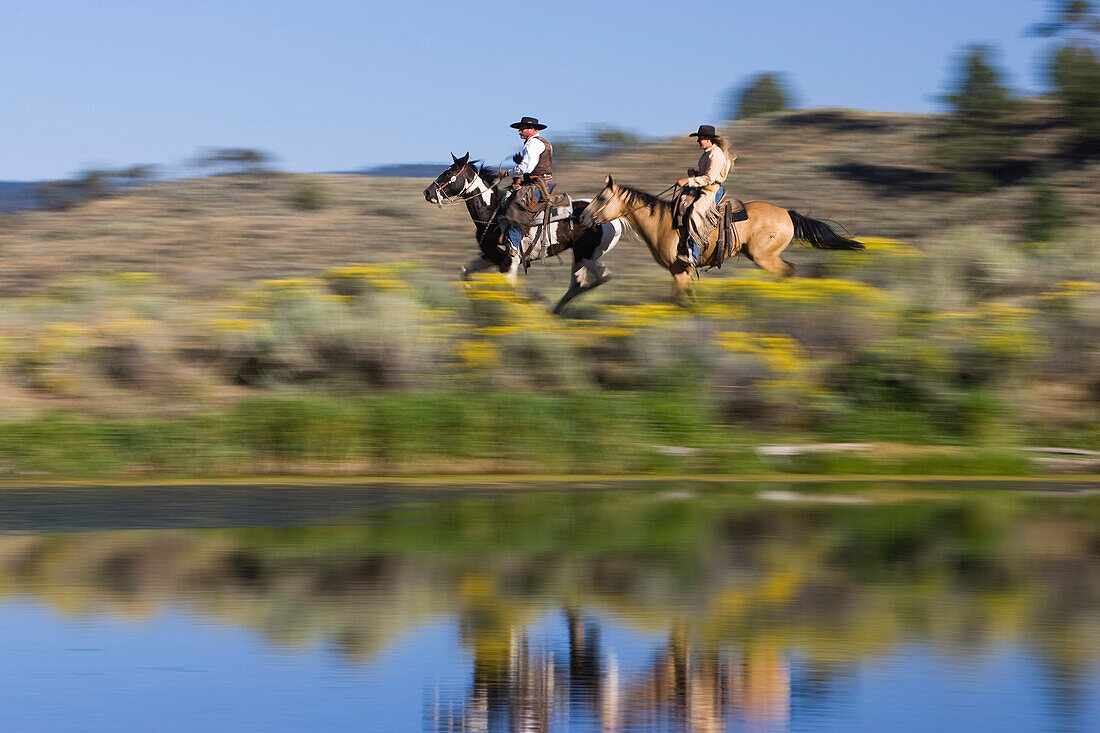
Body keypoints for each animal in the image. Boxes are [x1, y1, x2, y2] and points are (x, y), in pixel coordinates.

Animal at [424, 152, 624, 312]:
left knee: (598, 278)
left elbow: (509, 290)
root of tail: (610, 216)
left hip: (586, 254)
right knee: (578, 284)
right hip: (580, 256)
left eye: (449, 173)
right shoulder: (490, 256)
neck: (493, 214)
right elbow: (465, 272)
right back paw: (554, 311)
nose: (428, 192)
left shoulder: (510, 261)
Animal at [580, 176, 862, 299]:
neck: (661, 223)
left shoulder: (680, 269)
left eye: (602, 198)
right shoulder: (680, 272)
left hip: (764, 257)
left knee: (787, 271)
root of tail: (787, 214)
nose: (582, 217)